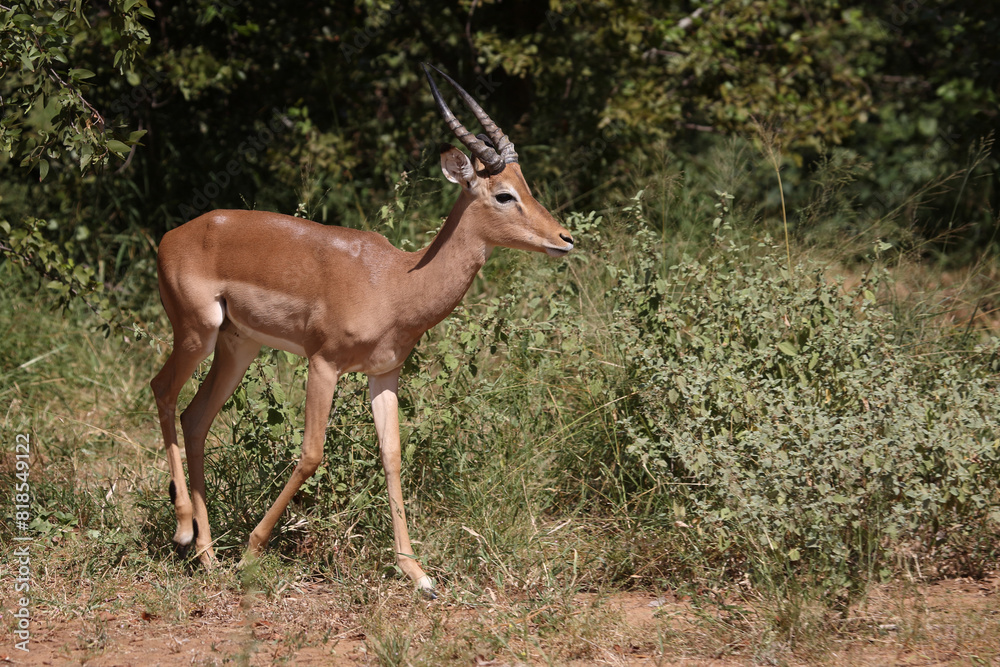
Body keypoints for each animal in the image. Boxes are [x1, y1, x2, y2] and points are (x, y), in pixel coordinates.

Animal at [150, 64, 574, 595]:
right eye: (503, 193)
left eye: (526, 184)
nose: (565, 238)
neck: (395, 282)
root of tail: (171, 237)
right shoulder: (323, 363)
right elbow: (311, 453)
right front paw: (252, 551)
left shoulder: (384, 373)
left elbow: (392, 454)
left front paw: (417, 572)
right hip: (196, 332)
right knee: (162, 390)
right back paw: (185, 532)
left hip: (237, 346)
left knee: (196, 417)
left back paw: (207, 556)